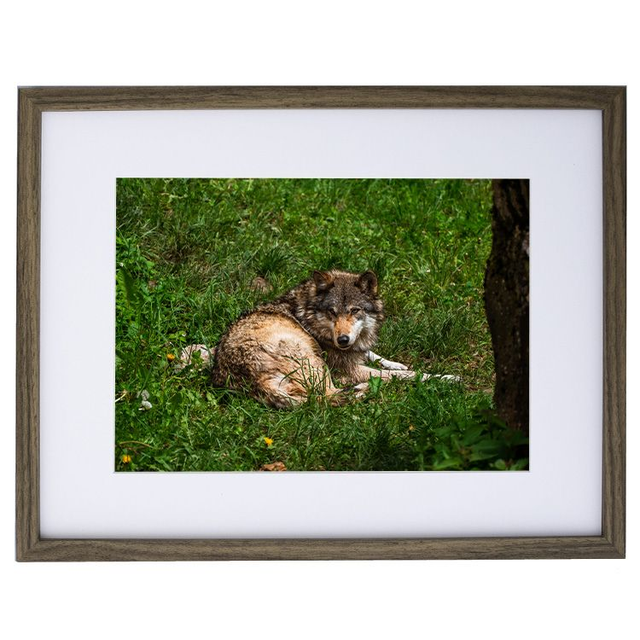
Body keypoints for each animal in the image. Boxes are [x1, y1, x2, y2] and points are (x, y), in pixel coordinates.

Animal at [207, 269, 457, 409]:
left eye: (355, 311)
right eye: (332, 312)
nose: (343, 340)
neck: (309, 313)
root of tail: (248, 380)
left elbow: (374, 354)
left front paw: (395, 362)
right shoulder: (349, 370)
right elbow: (407, 375)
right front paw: (445, 378)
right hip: (313, 360)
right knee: (327, 396)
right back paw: (364, 389)